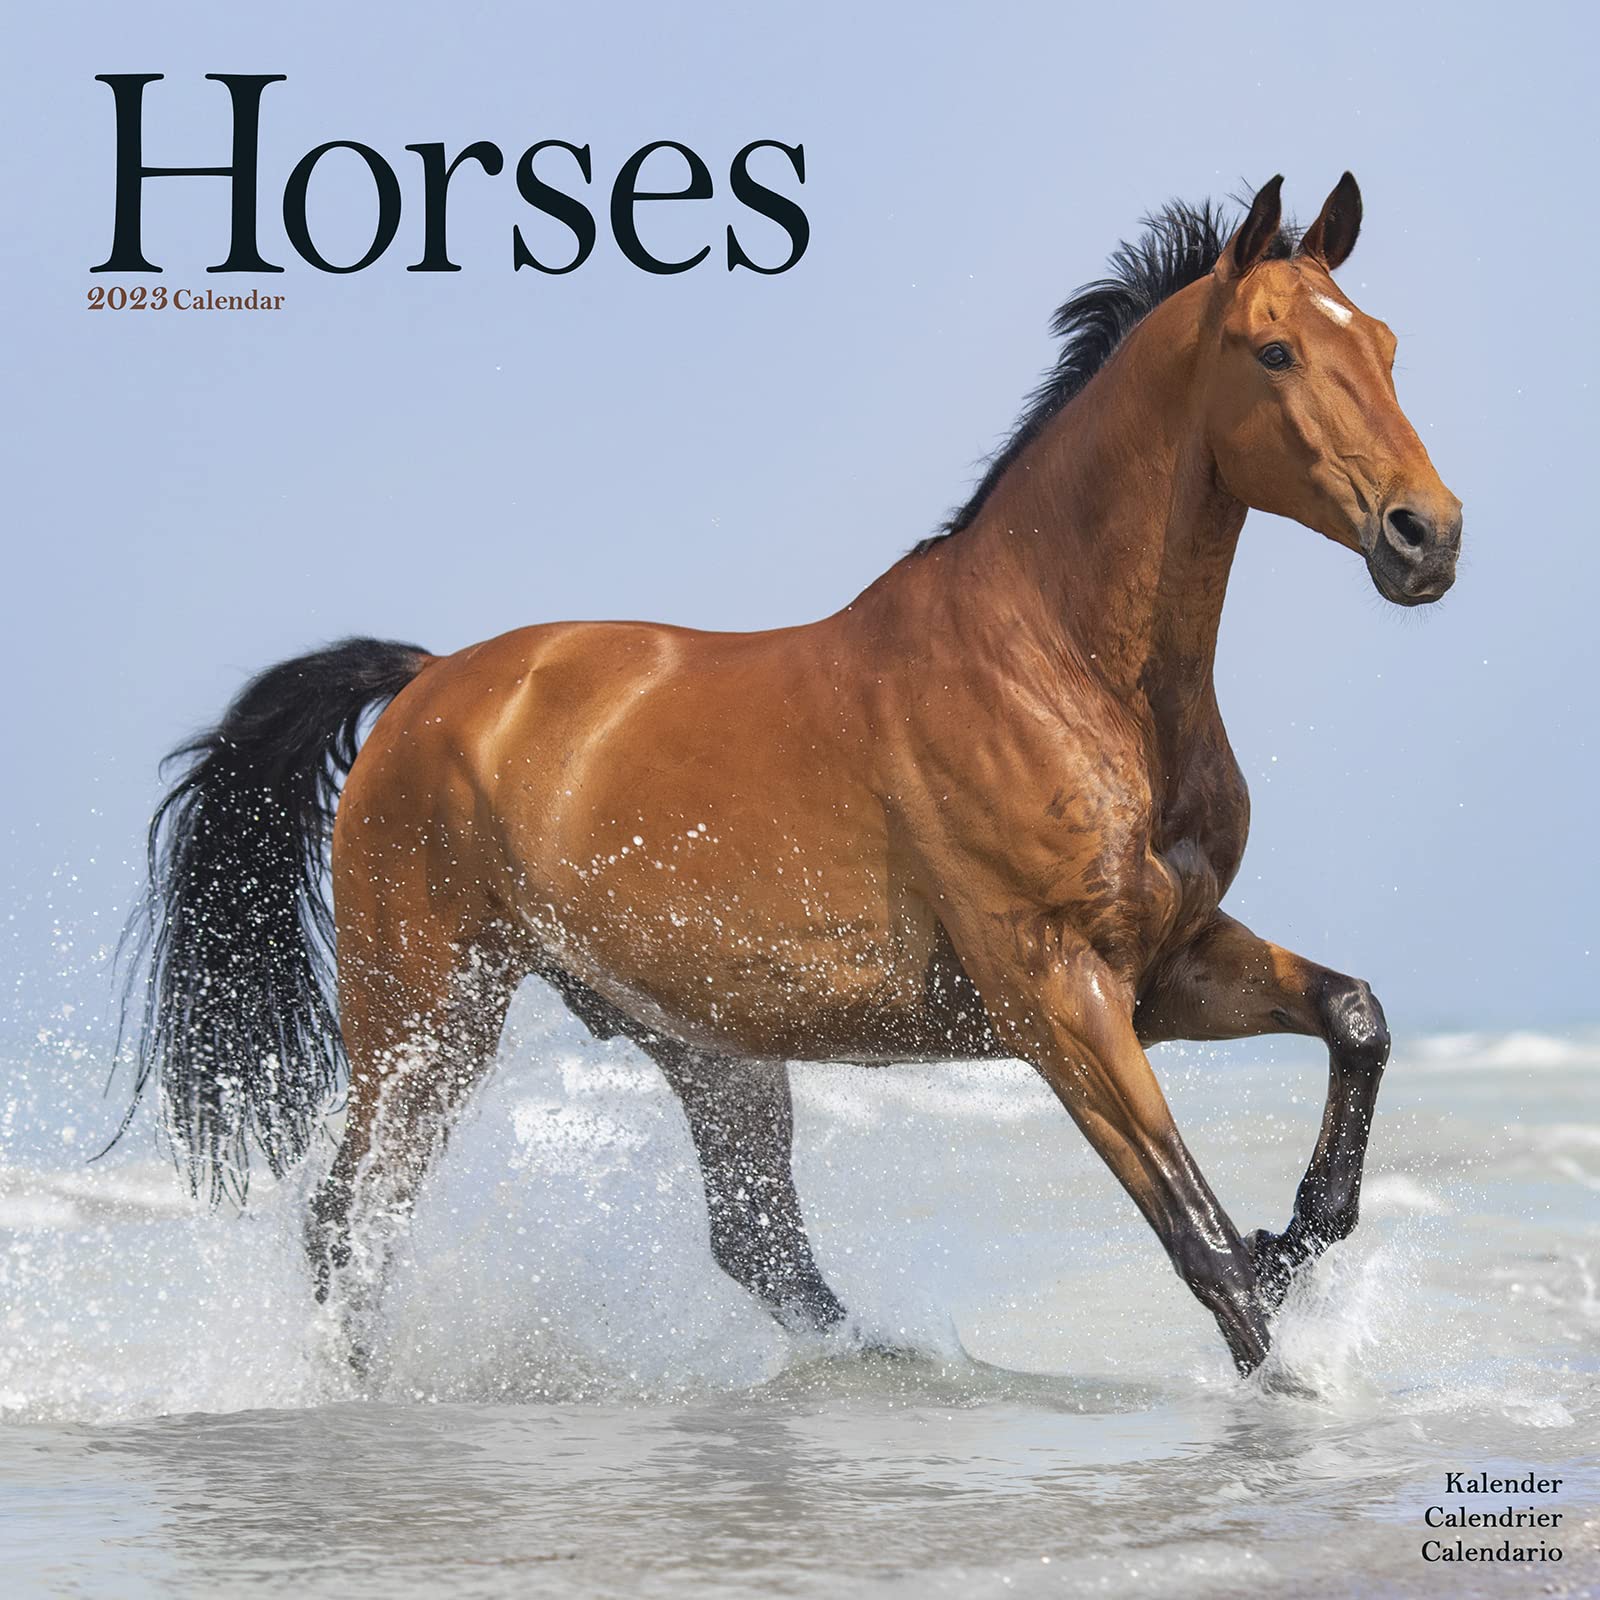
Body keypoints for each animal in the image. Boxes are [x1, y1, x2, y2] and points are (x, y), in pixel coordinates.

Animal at [122, 173, 1461, 1379]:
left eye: (1386, 346)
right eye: (1274, 351)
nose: (1426, 534)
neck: (1060, 664)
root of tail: (431, 680)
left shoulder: (1164, 961)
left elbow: (1354, 1017)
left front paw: (1304, 1230)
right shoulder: (1055, 993)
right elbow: (1194, 1233)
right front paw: (1287, 1366)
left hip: (701, 1042)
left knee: (756, 1247)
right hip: (425, 1017)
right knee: (352, 1216)